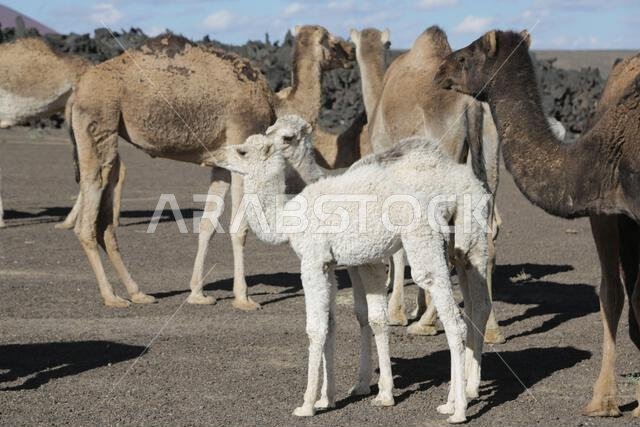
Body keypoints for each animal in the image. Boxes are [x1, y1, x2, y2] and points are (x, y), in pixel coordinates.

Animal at [220, 115, 491, 423]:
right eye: (269, 130)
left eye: (242, 151)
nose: (218, 155)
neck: (288, 218)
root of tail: (471, 180)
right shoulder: (342, 263)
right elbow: (350, 320)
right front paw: (335, 396)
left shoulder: (314, 261)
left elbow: (318, 327)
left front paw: (308, 404)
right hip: (456, 248)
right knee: (470, 305)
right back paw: (455, 398)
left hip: (450, 240)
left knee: (464, 311)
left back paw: (461, 404)